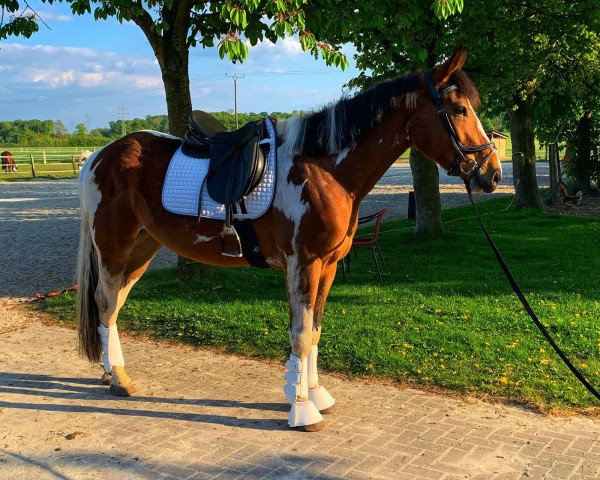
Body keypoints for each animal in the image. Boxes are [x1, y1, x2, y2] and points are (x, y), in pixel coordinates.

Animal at [77, 47, 504, 434]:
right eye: (459, 109)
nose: (492, 174)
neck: (325, 170)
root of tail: (98, 156)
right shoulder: (304, 263)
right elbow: (299, 336)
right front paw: (302, 411)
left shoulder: (327, 266)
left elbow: (314, 331)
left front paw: (313, 394)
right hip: (114, 246)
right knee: (105, 303)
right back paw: (118, 380)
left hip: (142, 248)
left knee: (114, 305)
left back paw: (112, 373)